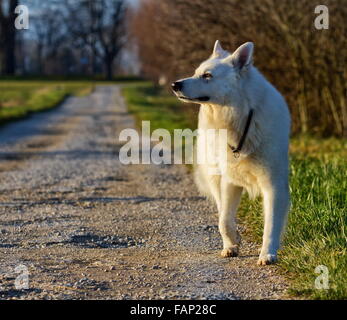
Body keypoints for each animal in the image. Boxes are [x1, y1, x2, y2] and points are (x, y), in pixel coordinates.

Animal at [173, 40, 290, 264]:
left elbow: (270, 224)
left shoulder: (273, 184)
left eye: (207, 75)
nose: (175, 85)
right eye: (196, 72)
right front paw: (232, 243)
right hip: (214, 175)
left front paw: (267, 254)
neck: (242, 119)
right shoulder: (229, 181)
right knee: (220, 210)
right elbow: (224, 220)